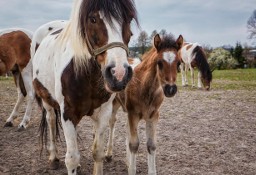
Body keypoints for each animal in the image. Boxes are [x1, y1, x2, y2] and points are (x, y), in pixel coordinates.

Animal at [32, 0, 139, 174]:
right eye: (93, 19)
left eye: (128, 19)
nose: (119, 74)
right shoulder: (67, 113)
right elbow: (72, 159)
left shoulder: (104, 112)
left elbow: (98, 152)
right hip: (46, 101)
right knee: (51, 120)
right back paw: (54, 158)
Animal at [105, 33, 183, 174]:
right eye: (159, 63)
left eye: (179, 62)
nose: (170, 89)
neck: (144, 87)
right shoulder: (133, 114)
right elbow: (134, 144)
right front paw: (132, 170)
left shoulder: (153, 116)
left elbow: (151, 145)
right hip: (115, 104)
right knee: (112, 122)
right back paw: (108, 154)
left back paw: (127, 161)